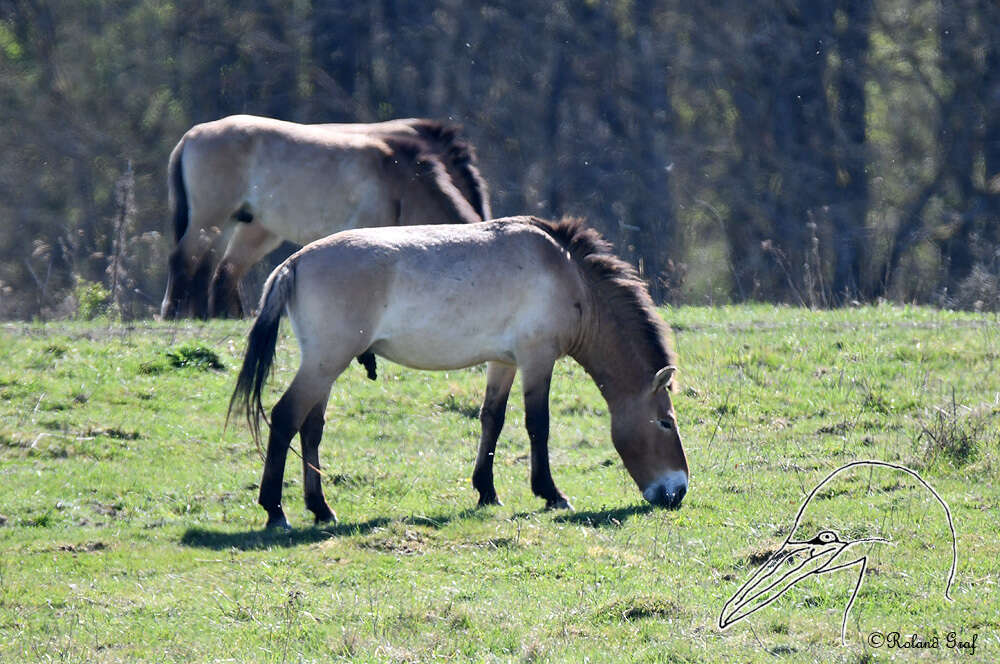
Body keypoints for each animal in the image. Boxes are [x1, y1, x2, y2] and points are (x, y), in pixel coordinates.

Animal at [160, 114, 492, 320]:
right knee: (185, 260)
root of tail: (191, 136)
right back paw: (174, 313)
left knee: (214, 268)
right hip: (210, 217)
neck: (400, 180)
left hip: (231, 223)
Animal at [230, 215, 692, 528]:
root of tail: (294, 262)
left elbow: (493, 420)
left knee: (311, 428)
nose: (678, 491)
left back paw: (321, 508)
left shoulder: (503, 362)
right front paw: (550, 493)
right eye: (666, 422)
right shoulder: (536, 359)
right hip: (325, 362)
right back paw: (275, 511)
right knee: (286, 418)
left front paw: (486, 491)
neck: (567, 273)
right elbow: (537, 425)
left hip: (325, 369)